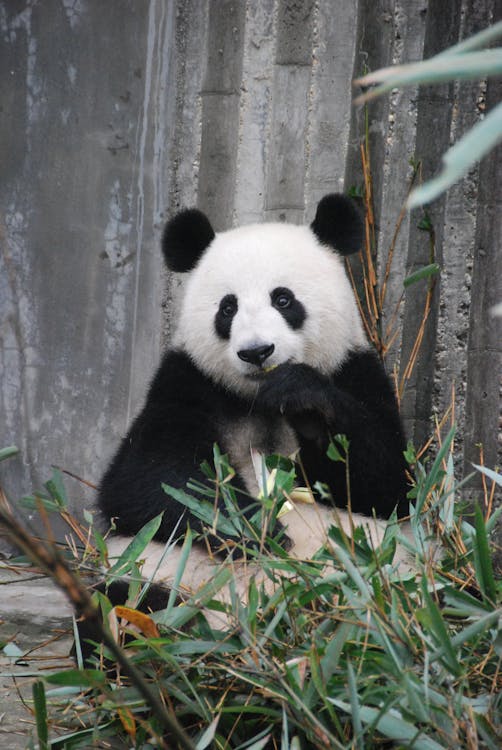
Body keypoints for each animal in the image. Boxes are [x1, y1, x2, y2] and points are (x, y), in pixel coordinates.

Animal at [92, 194, 410, 636]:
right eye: (228, 308)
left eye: (283, 299)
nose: (257, 352)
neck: (258, 399)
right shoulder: (186, 383)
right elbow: (145, 482)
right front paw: (257, 529)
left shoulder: (355, 370)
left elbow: (388, 483)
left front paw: (303, 398)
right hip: (151, 575)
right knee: (119, 606)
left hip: (380, 583)